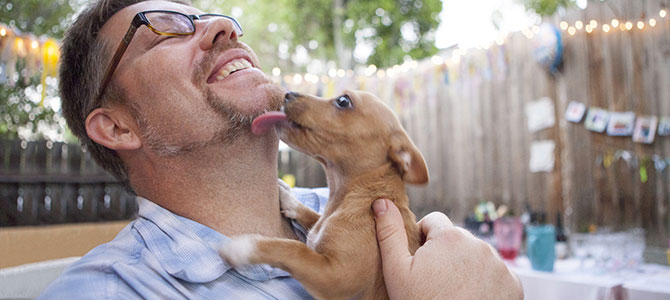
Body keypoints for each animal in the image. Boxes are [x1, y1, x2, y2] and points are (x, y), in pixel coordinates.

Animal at [220, 90, 430, 298]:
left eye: (343, 101)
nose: (288, 93)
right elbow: (313, 216)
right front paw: (288, 198)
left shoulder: (337, 277)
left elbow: (294, 249)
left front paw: (245, 246)